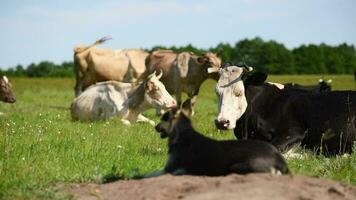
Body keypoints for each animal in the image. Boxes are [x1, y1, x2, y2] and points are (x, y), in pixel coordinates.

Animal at [147, 101, 290, 177]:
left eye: (164, 119)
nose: (155, 126)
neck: (181, 135)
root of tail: (280, 159)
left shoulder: (169, 170)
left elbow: (150, 174)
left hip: (238, 167)